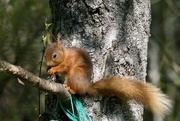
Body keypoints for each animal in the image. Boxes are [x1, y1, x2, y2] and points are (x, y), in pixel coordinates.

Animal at [44, 33, 172, 116]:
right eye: (45, 54)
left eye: (54, 55)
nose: (47, 63)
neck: (66, 54)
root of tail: (86, 86)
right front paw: (48, 69)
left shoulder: (70, 60)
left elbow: (64, 67)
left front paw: (53, 69)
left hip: (76, 73)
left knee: (77, 90)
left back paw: (70, 88)